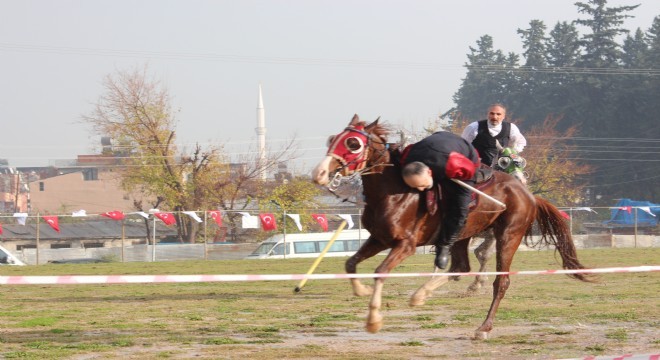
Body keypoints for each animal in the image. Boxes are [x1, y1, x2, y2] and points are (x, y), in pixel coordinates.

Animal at [310, 115, 592, 340]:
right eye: (333, 139)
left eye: (353, 144)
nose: (319, 173)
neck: (395, 192)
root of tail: (528, 194)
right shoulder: (378, 239)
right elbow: (350, 263)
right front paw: (362, 290)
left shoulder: (405, 245)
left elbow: (380, 272)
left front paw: (373, 320)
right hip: (462, 234)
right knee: (461, 267)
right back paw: (421, 294)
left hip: (508, 235)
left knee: (499, 282)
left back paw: (483, 327)